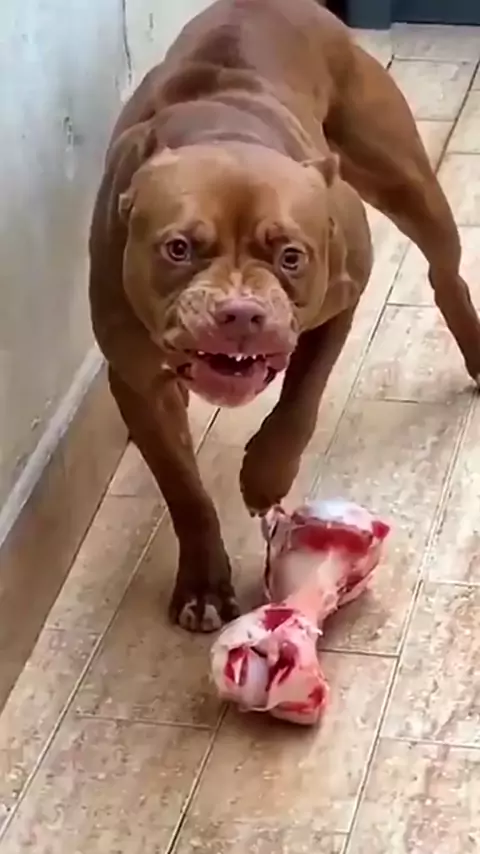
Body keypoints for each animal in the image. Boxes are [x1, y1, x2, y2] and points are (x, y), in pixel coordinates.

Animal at [89, 0, 480, 632]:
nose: (240, 312)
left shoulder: (342, 296)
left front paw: (263, 477)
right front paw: (204, 584)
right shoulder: (138, 378)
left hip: (405, 181)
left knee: (445, 271)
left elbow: (299, 401)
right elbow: (184, 488)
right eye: (178, 248)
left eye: (291, 257)